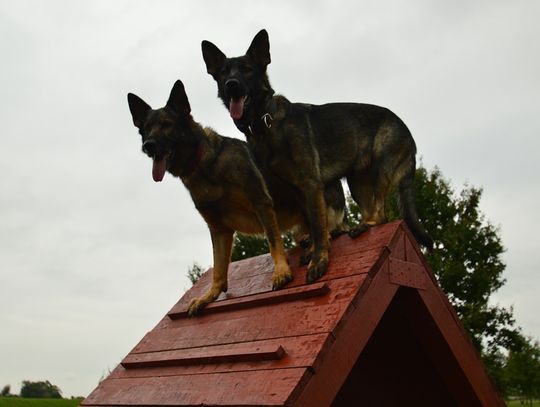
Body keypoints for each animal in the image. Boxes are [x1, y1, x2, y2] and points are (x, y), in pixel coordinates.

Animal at [127, 80, 344, 316]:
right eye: (145, 130)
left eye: (167, 124)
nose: (148, 145)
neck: (204, 164)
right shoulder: (219, 229)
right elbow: (219, 268)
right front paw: (210, 295)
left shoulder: (261, 204)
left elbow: (273, 241)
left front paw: (281, 271)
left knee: (327, 228)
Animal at [200, 29, 432, 284]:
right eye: (224, 73)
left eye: (247, 69)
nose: (231, 85)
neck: (266, 123)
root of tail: (406, 129)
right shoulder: (299, 191)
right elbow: (312, 224)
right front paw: (312, 251)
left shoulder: (310, 185)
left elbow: (319, 229)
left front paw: (319, 260)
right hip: (357, 183)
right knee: (374, 211)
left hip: (380, 168)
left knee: (382, 212)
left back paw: (364, 226)